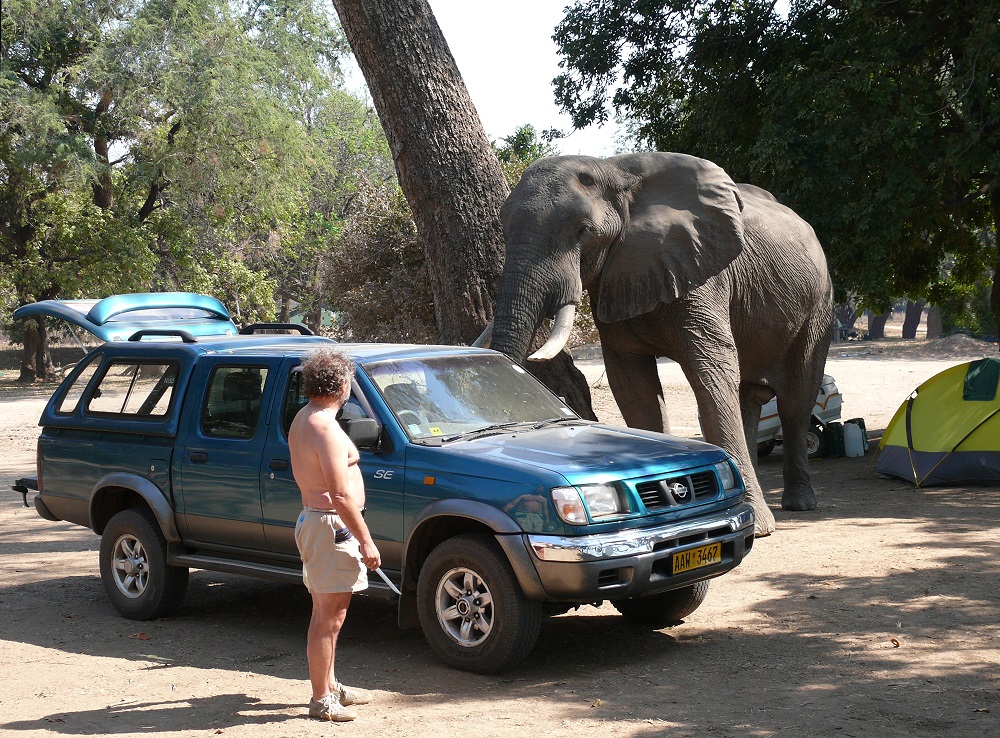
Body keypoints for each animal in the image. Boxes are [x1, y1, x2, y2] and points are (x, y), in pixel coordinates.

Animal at [480, 152, 832, 532]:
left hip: (820, 303)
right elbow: (633, 387)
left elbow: (711, 373)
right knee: (748, 399)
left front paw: (755, 524)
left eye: (584, 231)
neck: (614, 170)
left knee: (795, 402)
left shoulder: (702, 271)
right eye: (503, 229)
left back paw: (799, 503)